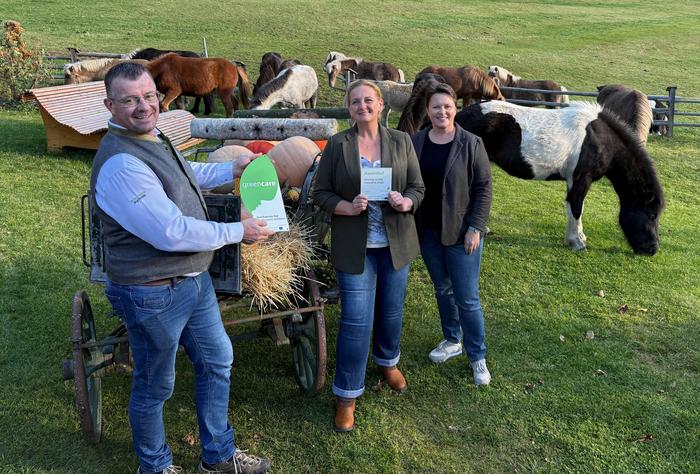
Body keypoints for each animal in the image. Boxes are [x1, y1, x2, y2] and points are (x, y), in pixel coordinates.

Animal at [454, 101, 668, 256]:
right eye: (651, 215)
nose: (653, 249)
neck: (599, 139)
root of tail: (458, 116)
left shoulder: (573, 180)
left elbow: (575, 208)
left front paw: (579, 237)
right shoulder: (581, 178)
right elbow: (576, 207)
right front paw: (577, 242)